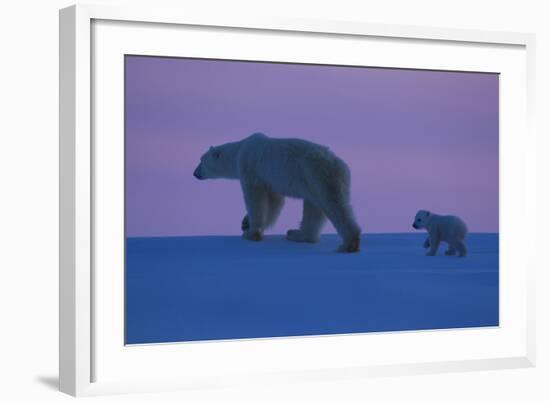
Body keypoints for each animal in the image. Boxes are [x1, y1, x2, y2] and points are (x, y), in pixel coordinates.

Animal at [194, 133, 362, 252]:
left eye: (201, 160)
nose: (195, 173)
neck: (240, 150)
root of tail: (341, 166)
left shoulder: (250, 169)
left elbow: (255, 199)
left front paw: (251, 233)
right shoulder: (269, 179)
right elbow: (275, 202)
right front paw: (245, 223)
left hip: (318, 174)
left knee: (334, 205)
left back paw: (349, 244)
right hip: (314, 181)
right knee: (314, 207)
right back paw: (297, 234)